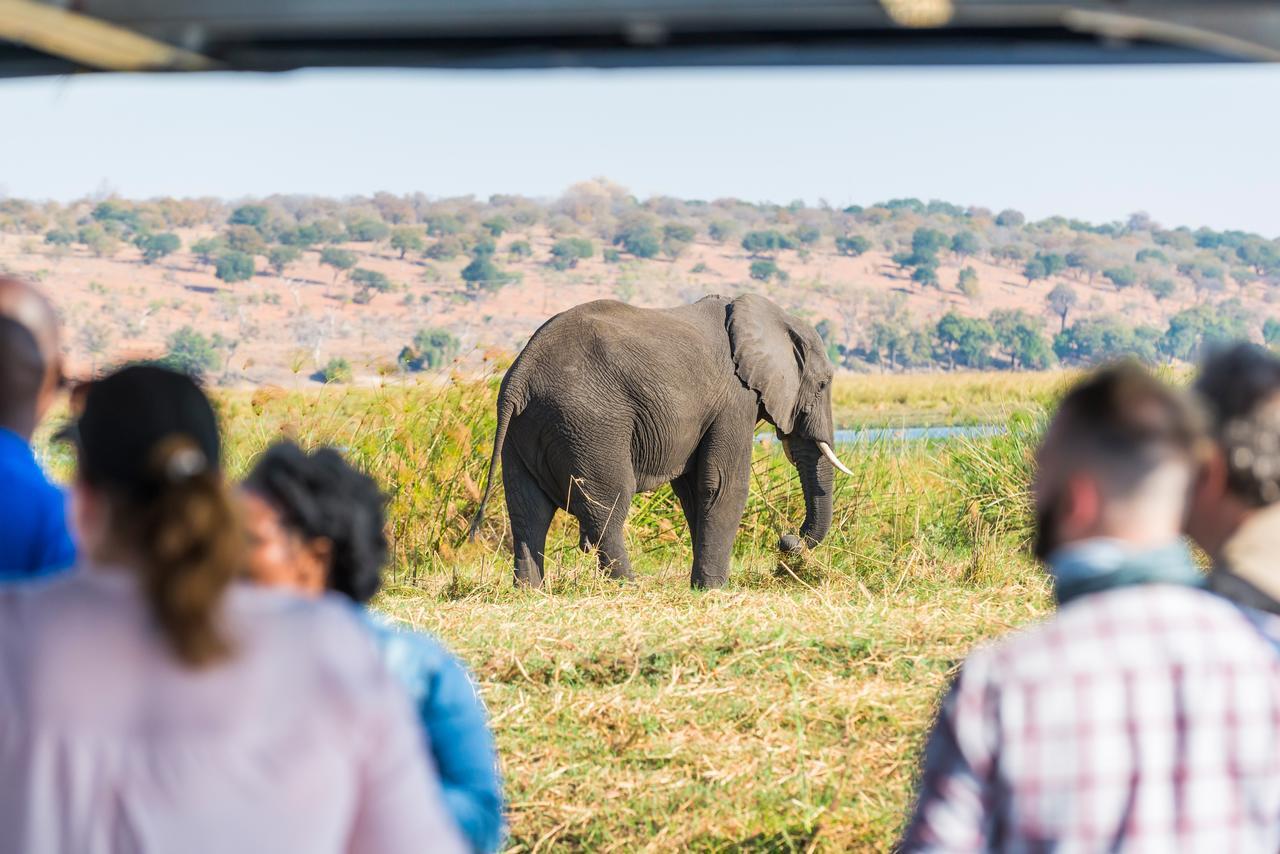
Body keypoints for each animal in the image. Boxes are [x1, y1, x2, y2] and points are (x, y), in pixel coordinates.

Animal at [471, 294, 849, 588]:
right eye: (823, 384)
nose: (787, 540)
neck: (770, 315)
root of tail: (520, 376)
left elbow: (696, 489)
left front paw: (701, 587)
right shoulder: (734, 399)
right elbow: (724, 484)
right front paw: (715, 590)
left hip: (523, 431)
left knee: (527, 510)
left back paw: (529, 592)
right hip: (590, 424)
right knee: (608, 504)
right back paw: (627, 588)